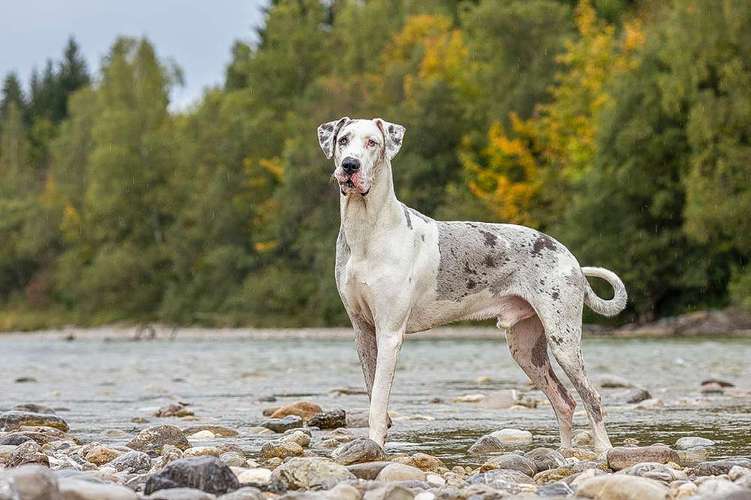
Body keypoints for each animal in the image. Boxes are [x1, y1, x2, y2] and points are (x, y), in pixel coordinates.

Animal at [318, 117, 628, 454]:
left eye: (372, 142)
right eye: (343, 140)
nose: (350, 165)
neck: (367, 232)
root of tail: (570, 258)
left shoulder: (389, 333)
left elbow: (377, 402)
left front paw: (373, 446)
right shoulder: (362, 331)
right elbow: (372, 391)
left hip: (564, 340)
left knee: (591, 397)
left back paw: (604, 452)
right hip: (526, 348)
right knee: (564, 401)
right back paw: (564, 454)